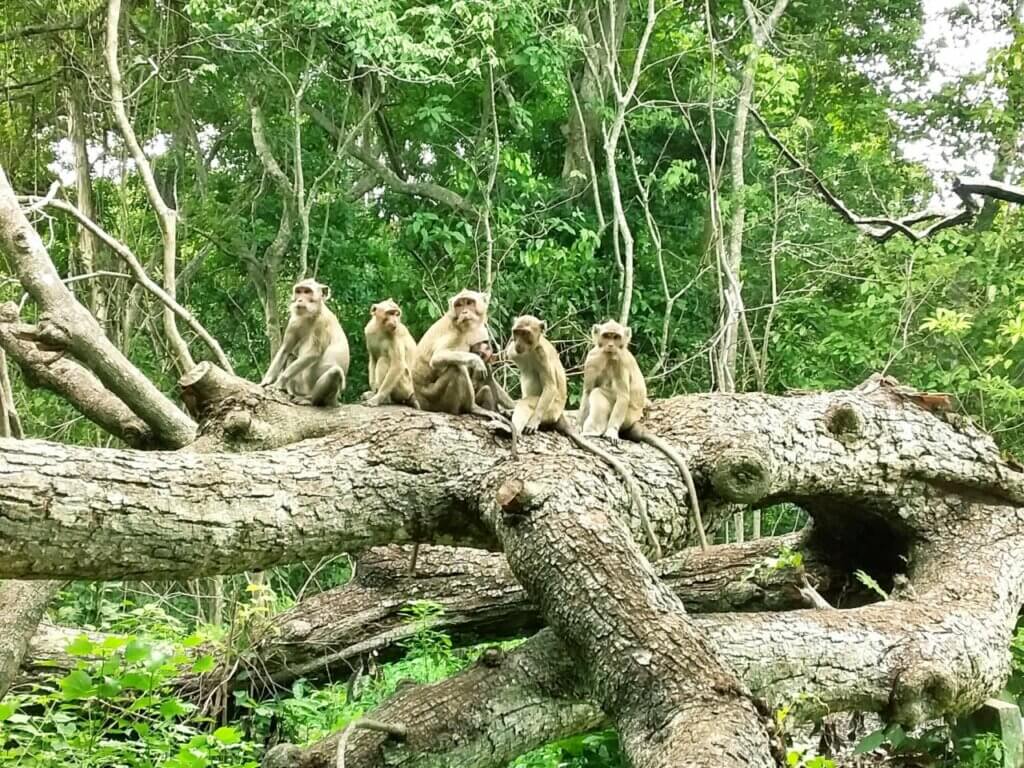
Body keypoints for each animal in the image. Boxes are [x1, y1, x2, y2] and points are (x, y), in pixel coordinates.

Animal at [262, 278, 350, 409]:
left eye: (307, 291)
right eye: (299, 291)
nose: (299, 299)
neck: (309, 316)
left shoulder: (322, 322)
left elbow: (313, 353)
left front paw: (279, 382)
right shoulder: (294, 321)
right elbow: (285, 350)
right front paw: (266, 381)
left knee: (335, 373)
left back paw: (311, 400)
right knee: (291, 356)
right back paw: (292, 393)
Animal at [503, 313, 655, 552]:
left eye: (526, 333)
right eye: (517, 332)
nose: (518, 342)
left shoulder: (543, 355)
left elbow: (551, 387)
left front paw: (533, 422)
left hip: (553, 411)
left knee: (537, 401)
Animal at [581, 319, 708, 552]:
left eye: (616, 337)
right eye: (607, 336)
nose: (611, 345)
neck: (607, 357)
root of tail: (635, 420)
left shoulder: (620, 361)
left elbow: (621, 394)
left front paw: (609, 433)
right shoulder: (592, 358)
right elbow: (586, 392)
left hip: (626, 416)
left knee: (603, 394)